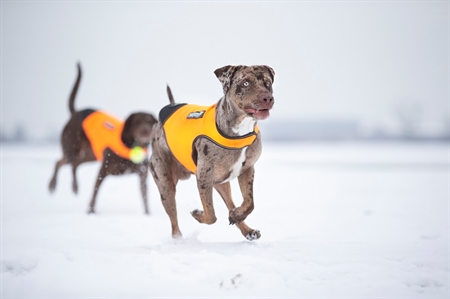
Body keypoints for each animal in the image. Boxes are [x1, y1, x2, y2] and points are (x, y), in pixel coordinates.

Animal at [48, 63, 158, 214]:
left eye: (149, 121)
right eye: (136, 122)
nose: (145, 130)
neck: (130, 145)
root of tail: (75, 113)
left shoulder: (142, 175)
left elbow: (145, 198)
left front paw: (147, 214)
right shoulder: (102, 171)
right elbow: (94, 193)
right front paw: (90, 212)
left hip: (90, 154)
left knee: (68, 162)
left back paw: (62, 186)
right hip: (72, 147)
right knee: (67, 163)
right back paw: (64, 185)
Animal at [149, 65, 274, 241]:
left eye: (267, 82)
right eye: (245, 83)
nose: (267, 98)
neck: (240, 130)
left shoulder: (247, 169)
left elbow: (249, 202)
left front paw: (237, 215)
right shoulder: (204, 177)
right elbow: (211, 215)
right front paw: (197, 214)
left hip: (221, 182)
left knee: (231, 204)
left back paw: (245, 228)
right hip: (165, 182)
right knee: (173, 218)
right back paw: (178, 238)